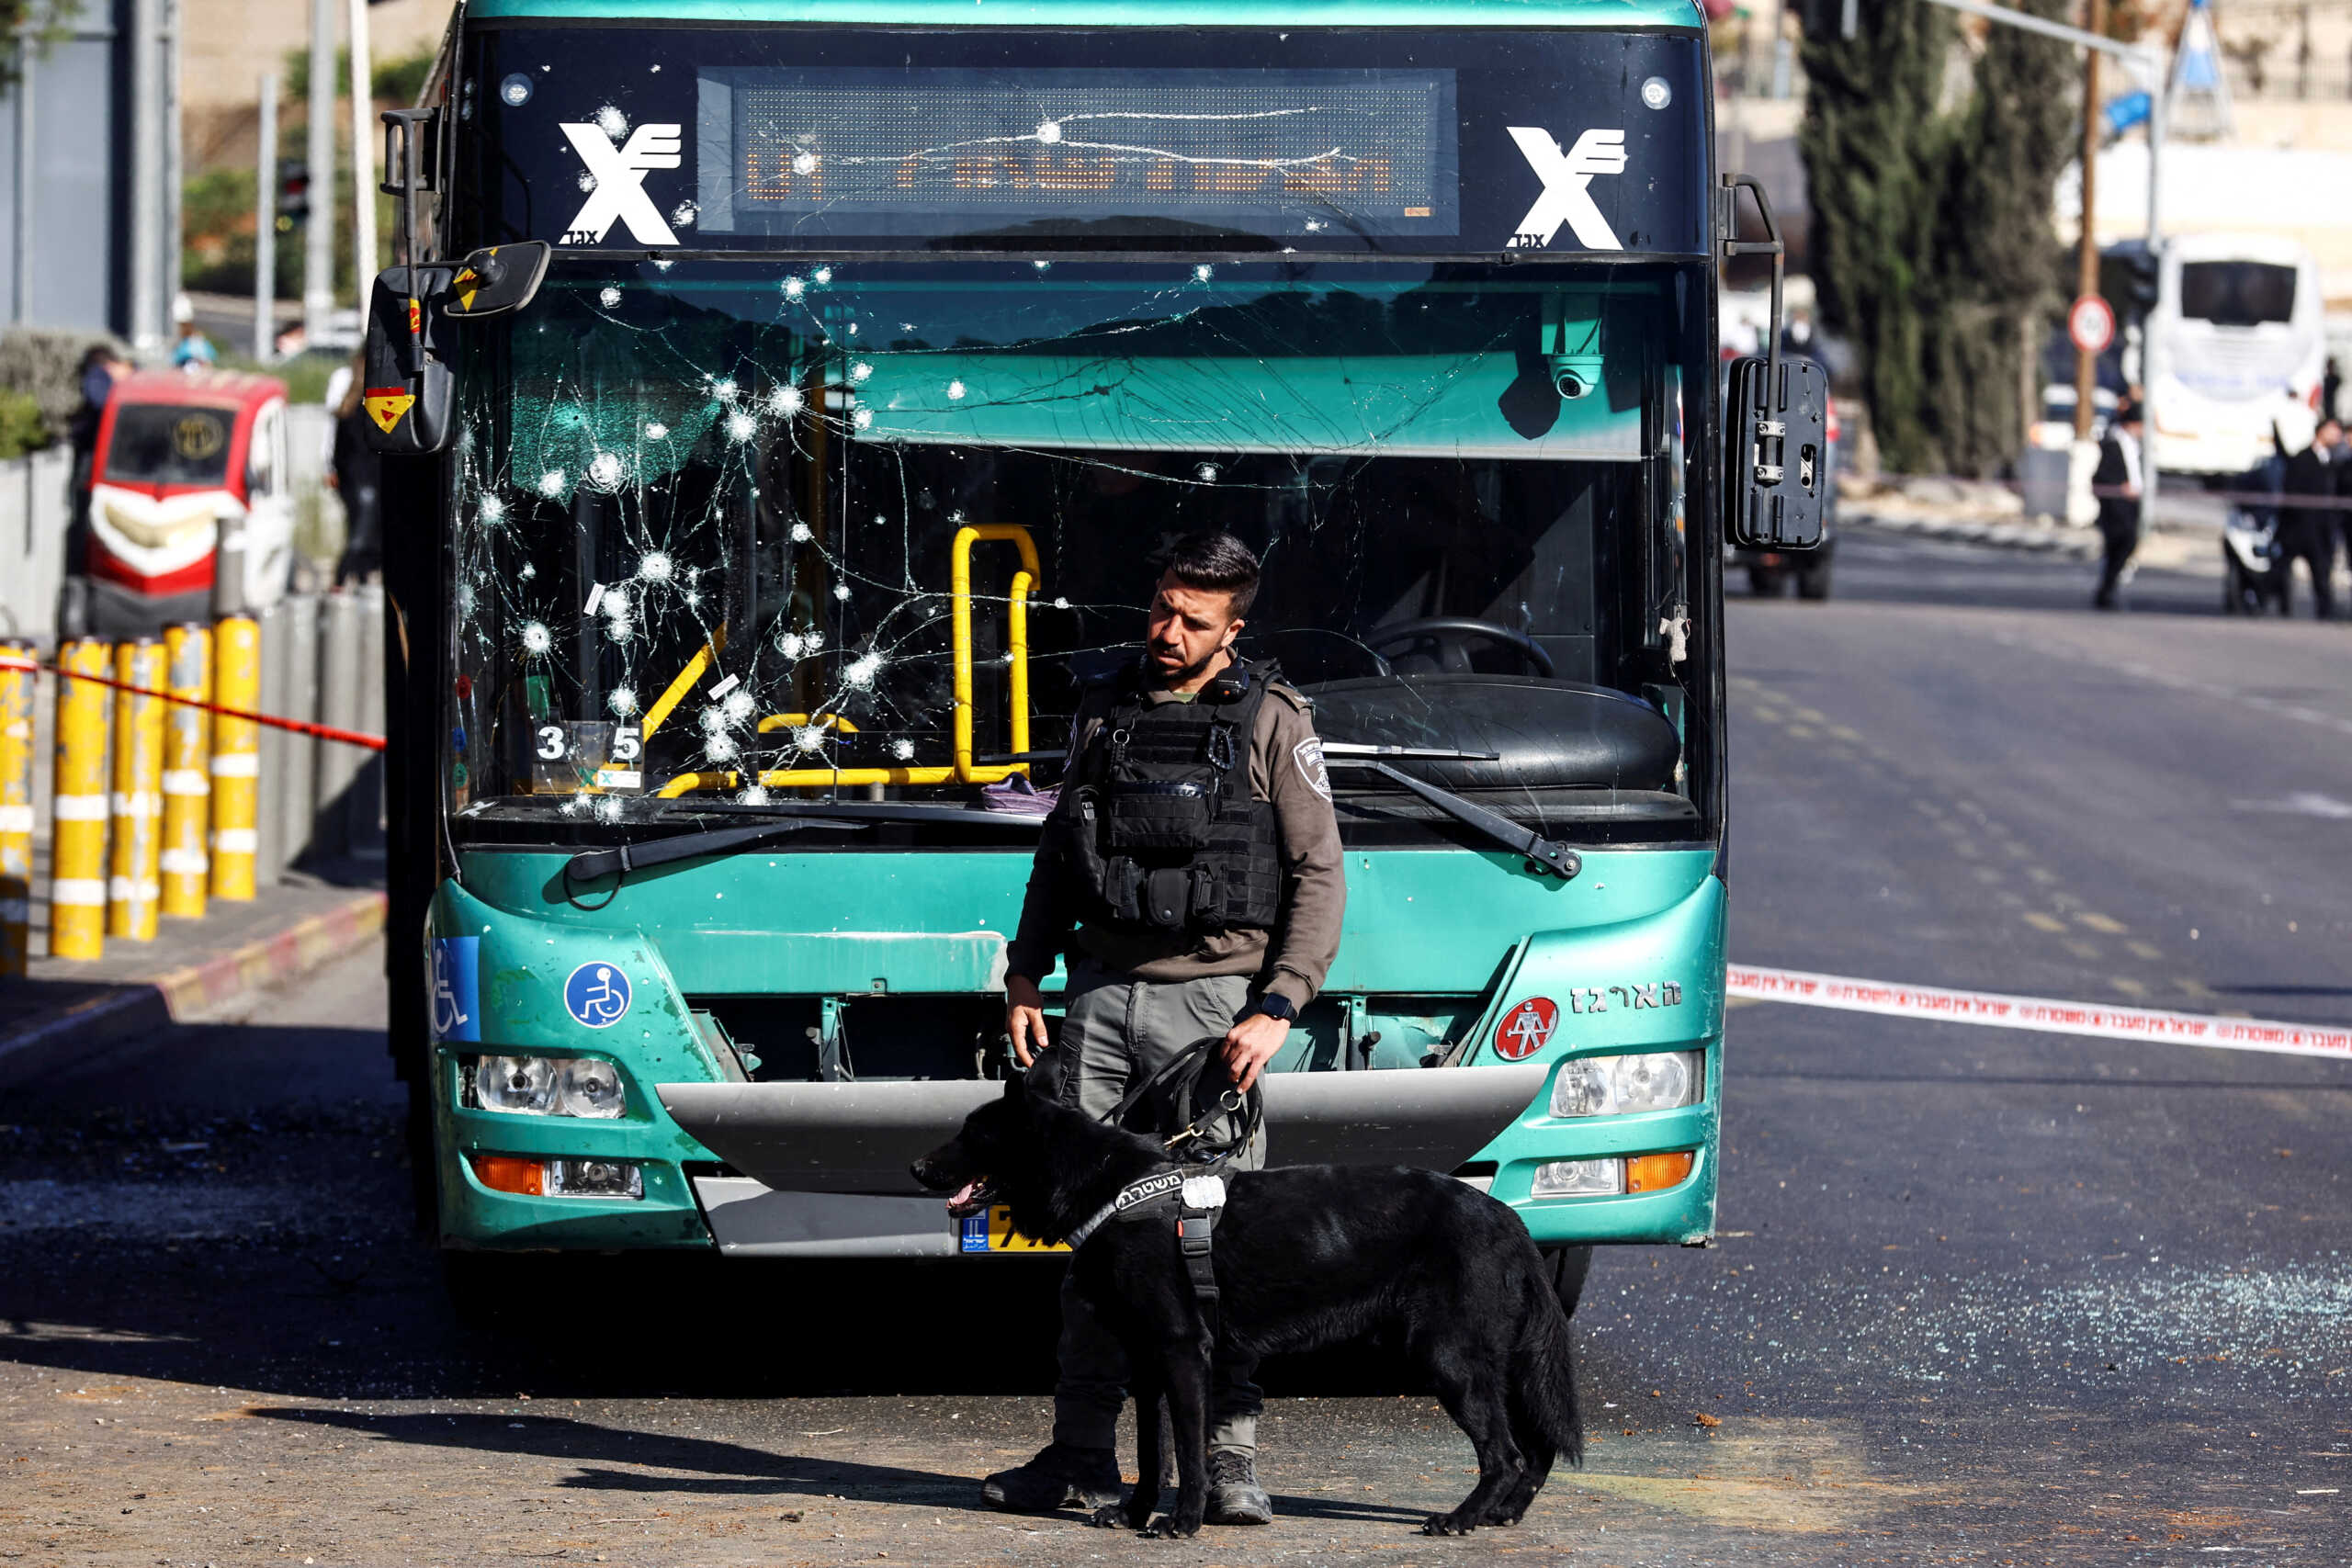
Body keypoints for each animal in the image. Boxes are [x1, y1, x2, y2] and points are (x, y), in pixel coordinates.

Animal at [912, 1072, 1580, 1541]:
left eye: (972, 1134)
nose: (916, 1165)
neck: (1111, 1187)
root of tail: (1506, 1217)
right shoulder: (1151, 1364)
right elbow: (1152, 1454)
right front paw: (1134, 1514)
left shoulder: (1184, 1354)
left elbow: (1187, 1452)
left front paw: (1182, 1522)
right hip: (1496, 1363)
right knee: (1536, 1447)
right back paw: (1502, 1513)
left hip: (1449, 1360)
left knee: (1505, 1453)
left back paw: (1462, 1517)